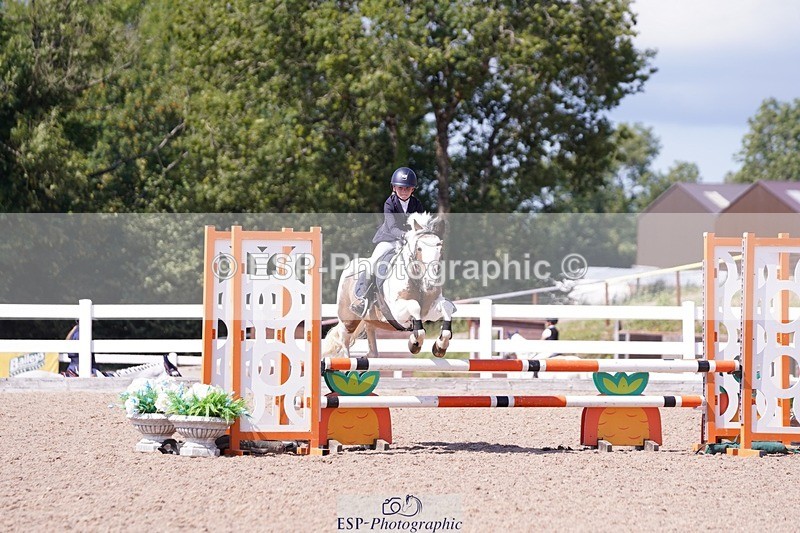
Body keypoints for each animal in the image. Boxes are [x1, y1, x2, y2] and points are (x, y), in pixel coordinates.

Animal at [323, 212, 456, 359]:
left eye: (440, 248)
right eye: (419, 248)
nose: (431, 282)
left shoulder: (429, 312)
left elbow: (447, 307)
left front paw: (440, 346)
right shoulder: (397, 312)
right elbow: (414, 306)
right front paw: (414, 343)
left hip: (369, 320)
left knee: (371, 344)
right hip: (348, 319)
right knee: (344, 340)